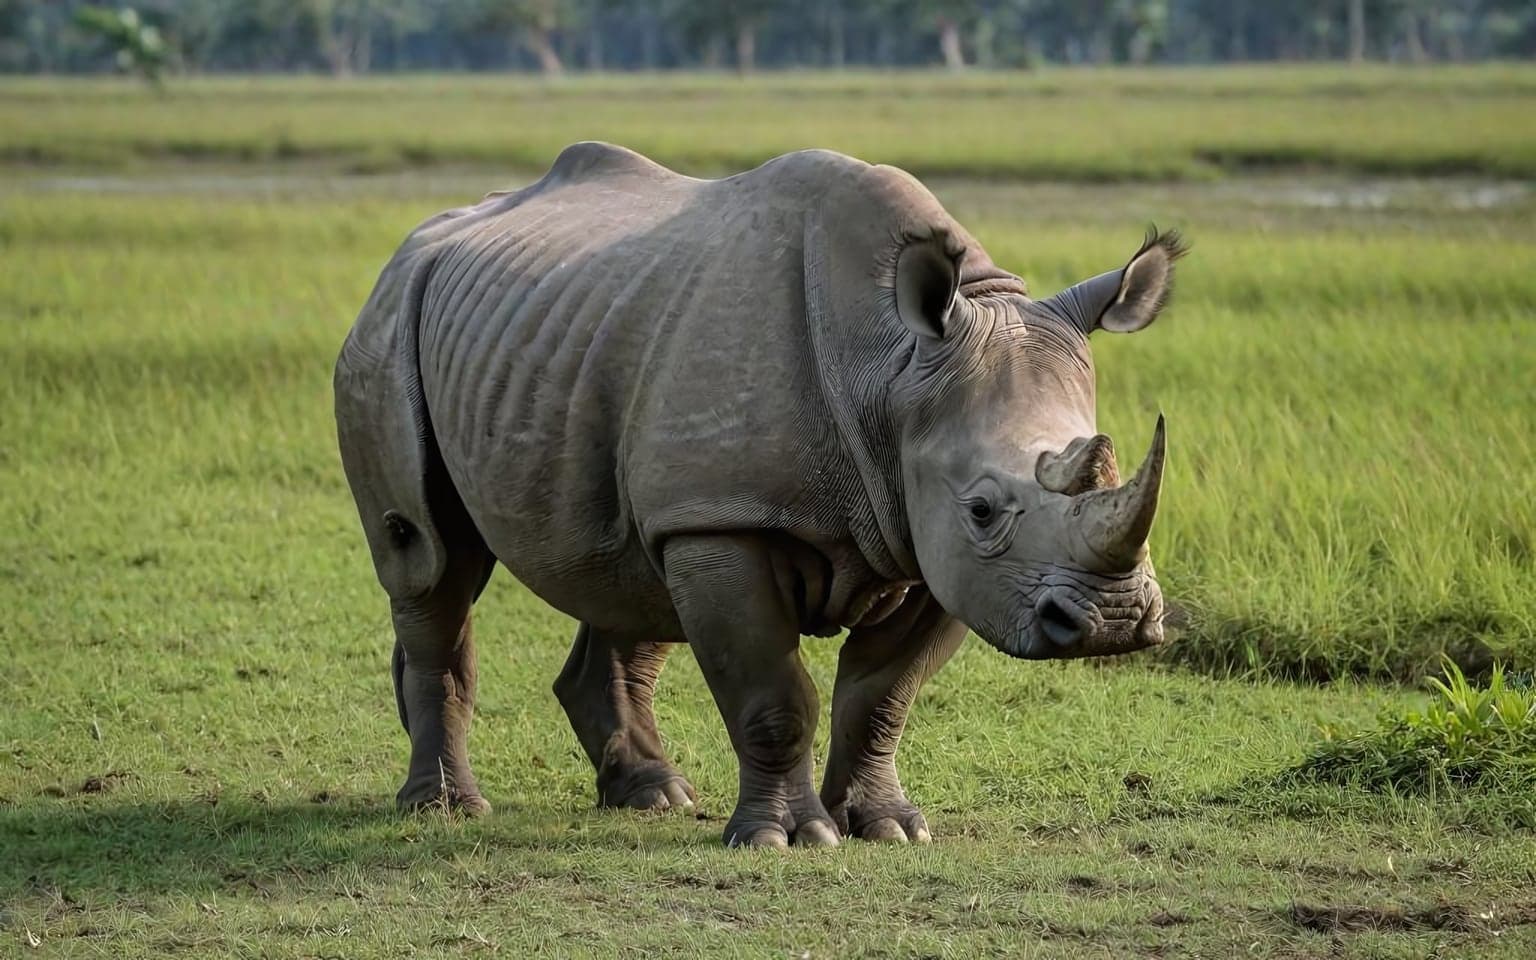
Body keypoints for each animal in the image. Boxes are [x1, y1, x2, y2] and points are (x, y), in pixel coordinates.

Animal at [334, 142, 1183, 848]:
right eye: (982, 509)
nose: (1112, 623)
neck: (890, 371)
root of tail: (420, 239)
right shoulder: (733, 521)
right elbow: (774, 695)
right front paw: (788, 840)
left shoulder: (932, 546)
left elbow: (883, 696)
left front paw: (889, 828)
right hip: (387, 324)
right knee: (428, 557)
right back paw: (445, 809)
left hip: (586, 345)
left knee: (632, 571)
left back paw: (654, 796)